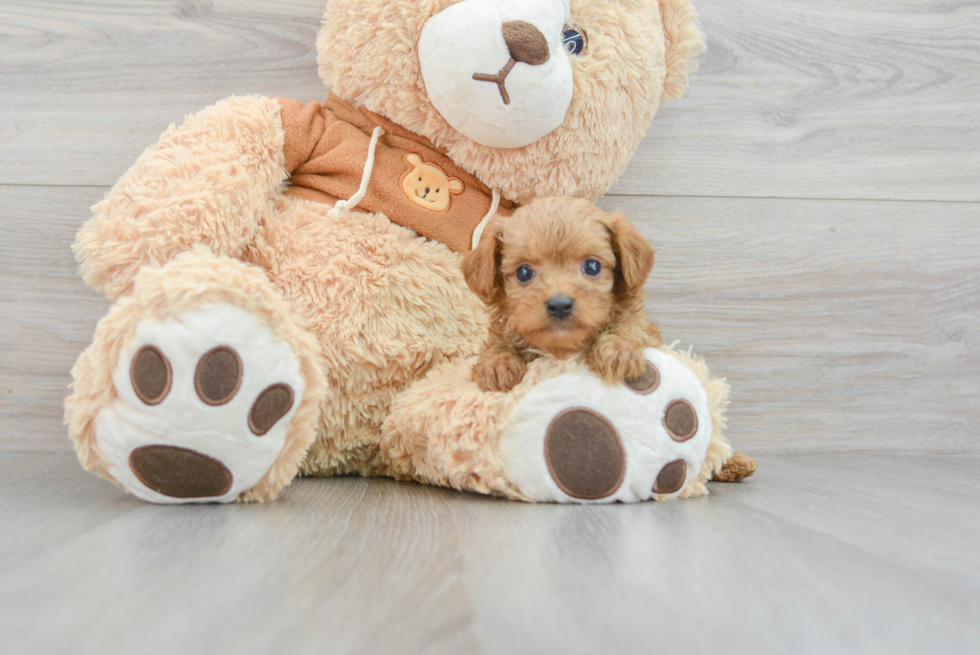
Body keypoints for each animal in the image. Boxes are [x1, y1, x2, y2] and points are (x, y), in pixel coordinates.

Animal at [464, 195, 664, 390]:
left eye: (592, 267)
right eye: (523, 273)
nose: (559, 306)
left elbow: (630, 324)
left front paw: (617, 349)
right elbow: (495, 342)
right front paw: (497, 363)